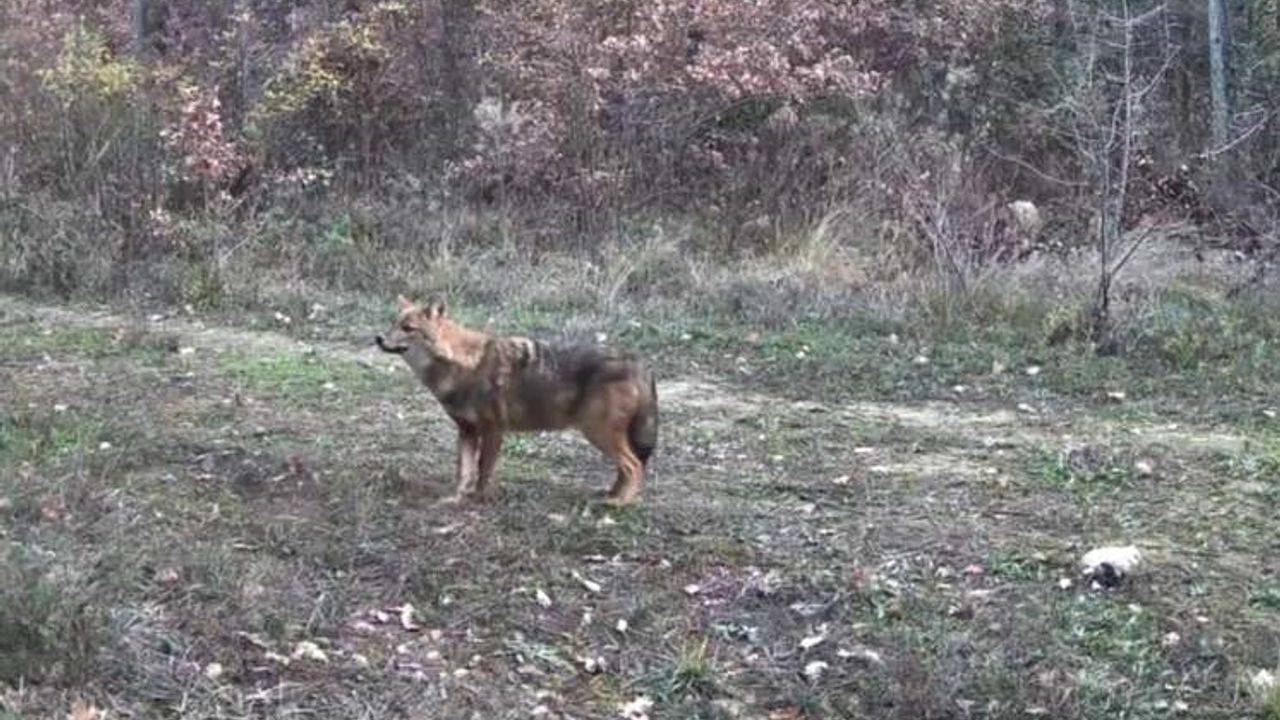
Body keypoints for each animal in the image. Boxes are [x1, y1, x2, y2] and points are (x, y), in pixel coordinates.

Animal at [375, 296, 658, 506]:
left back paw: (620, 503)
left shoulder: (493, 430)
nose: (378, 338)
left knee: (634, 466)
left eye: (408, 329)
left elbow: (483, 470)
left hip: (598, 433)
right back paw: (612, 495)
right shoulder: (466, 431)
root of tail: (638, 362)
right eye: (392, 323)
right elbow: (463, 472)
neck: (461, 364)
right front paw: (455, 499)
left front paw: (479, 499)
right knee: (627, 468)